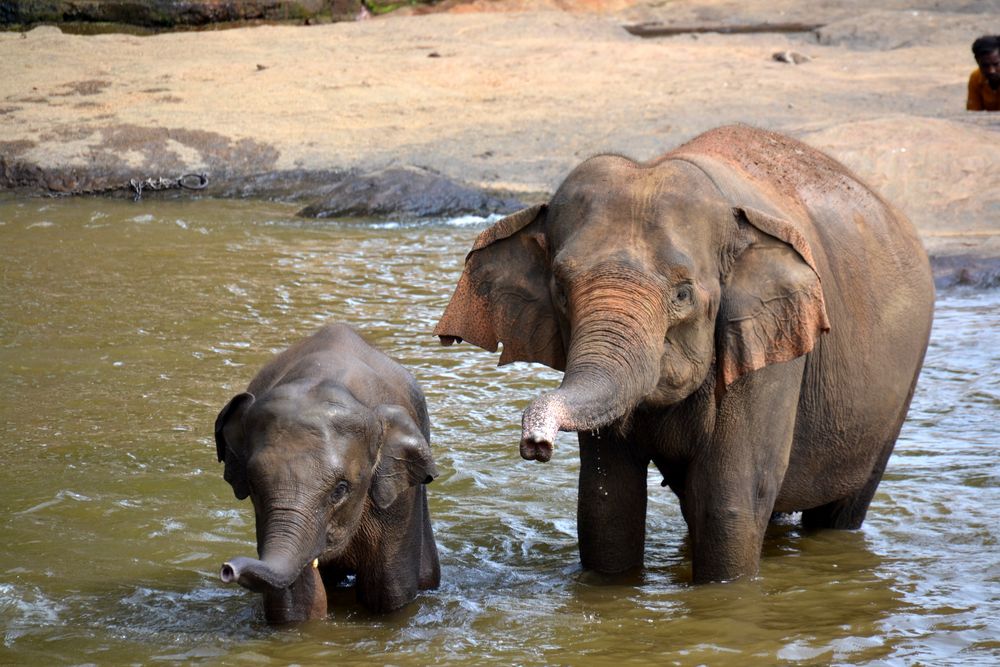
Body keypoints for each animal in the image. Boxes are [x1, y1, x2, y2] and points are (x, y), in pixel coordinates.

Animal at [215, 324, 438, 628]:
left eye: (340, 489)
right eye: (253, 486)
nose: (227, 569)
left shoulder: (399, 503)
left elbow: (390, 593)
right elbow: (296, 602)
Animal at [434, 126, 932, 584]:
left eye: (682, 294)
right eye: (559, 288)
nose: (535, 445)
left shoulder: (768, 349)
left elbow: (728, 501)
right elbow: (606, 508)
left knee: (838, 509)